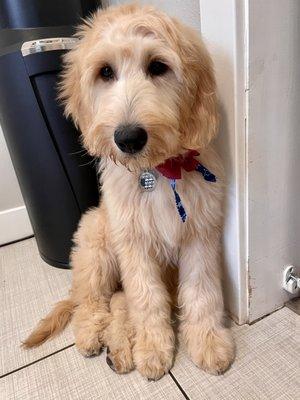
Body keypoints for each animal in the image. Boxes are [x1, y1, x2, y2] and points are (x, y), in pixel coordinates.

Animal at [24, 3, 234, 382]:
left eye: (158, 66)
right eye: (105, 72)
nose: (128, 138)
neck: (158, 172)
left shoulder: (199, 233)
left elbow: (202, 290)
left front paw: (208, 341)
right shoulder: (133, 244)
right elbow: (146, 298)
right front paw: (153, 348)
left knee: (119, 302)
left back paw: (119, 351)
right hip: (97, 245)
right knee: (91, 299)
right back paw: (92, 333)